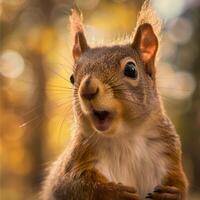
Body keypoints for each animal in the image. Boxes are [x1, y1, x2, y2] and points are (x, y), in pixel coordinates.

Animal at [40, 1, 188, 200]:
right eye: (72, 78)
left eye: (131, 70)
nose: (87, 89)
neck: (125, 137)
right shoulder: (77, 160)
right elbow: (71, 186)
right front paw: (113, 192)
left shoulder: (169, 153)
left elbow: (180, 184)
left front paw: (171, 193)